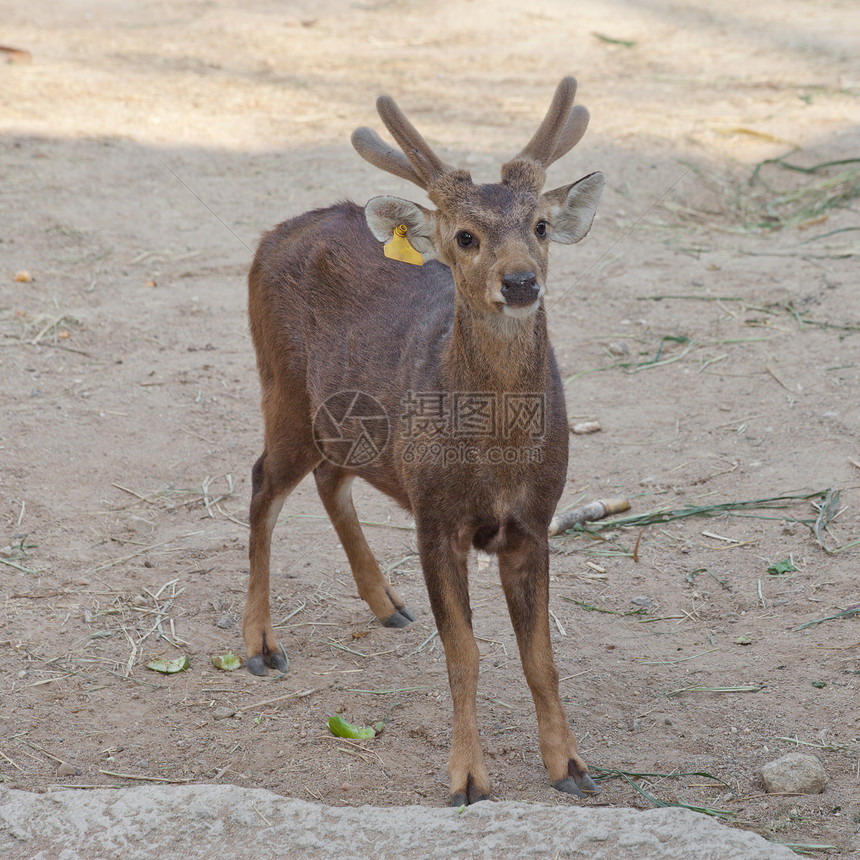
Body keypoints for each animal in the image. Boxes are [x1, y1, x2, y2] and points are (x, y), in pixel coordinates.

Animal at [242, 75, 604, 808]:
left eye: (540, 226)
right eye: (465, 236)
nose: (520, 281)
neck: (496, 459)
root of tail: (273, 234)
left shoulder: (535, 521)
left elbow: (540, 659)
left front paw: (571, 766)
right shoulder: (436, 517)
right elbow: (464, 652)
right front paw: (467, 779)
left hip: (349, 422)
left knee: (329, 478)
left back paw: (387, 604)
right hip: (283, 389)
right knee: (263, 483)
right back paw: (261, 644)